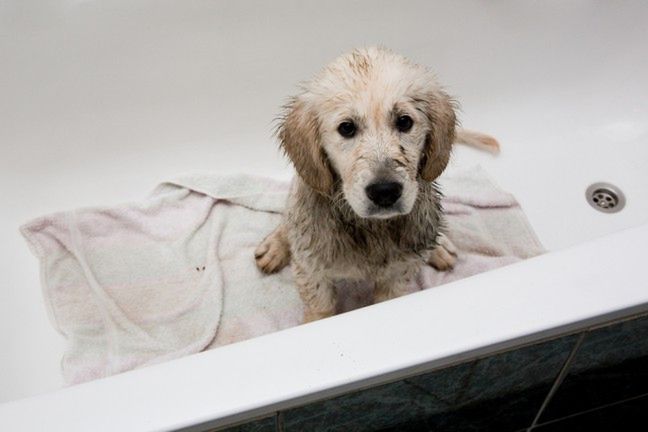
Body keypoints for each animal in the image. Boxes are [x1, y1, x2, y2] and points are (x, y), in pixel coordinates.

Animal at [253, 49, 496, 322]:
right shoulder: (313, 271)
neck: (371, 229)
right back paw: (275, 246)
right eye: (346, 128)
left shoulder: (398, 274)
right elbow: (320, 309)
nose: (385, 191)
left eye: (404, 122)